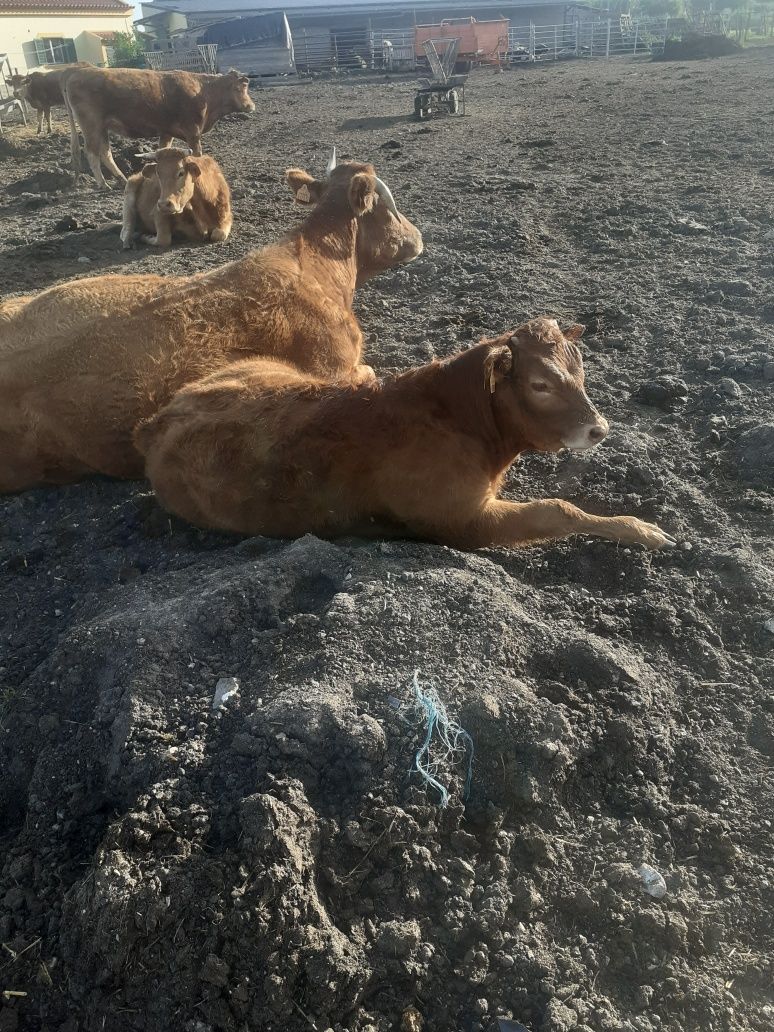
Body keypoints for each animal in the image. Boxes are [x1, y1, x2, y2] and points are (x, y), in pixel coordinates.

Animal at [62, 66, 254, 189]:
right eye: (241, 88)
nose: (251, 106)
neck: (205, 92)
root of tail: (75, 74)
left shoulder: (167, 132)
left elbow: (162, 151)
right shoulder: (193, 132)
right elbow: (197, 155)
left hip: (102, 128)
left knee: (105, 153)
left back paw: (122, 180)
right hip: (91, 125)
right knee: (92, 153)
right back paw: (103, 184)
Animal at [136, 317, 676, 553]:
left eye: (581, 369)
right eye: (540, 383)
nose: (599, 428)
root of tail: (159, 419)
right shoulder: (462, 521)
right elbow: (557, 510)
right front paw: (642, 529)